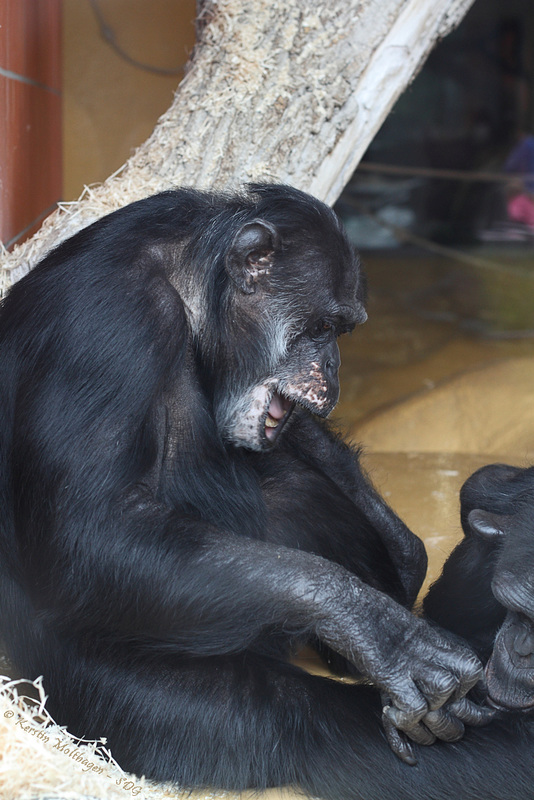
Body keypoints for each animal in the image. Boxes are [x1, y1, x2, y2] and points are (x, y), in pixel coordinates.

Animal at [0, 184, 532, 800]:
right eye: (321, 328)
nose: (332, 368)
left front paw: (401, 550)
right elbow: (90, 529)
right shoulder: (110, 320)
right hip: (77, 687)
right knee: (279, 715)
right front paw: (386, 636)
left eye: (342, 331)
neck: (192, 290)